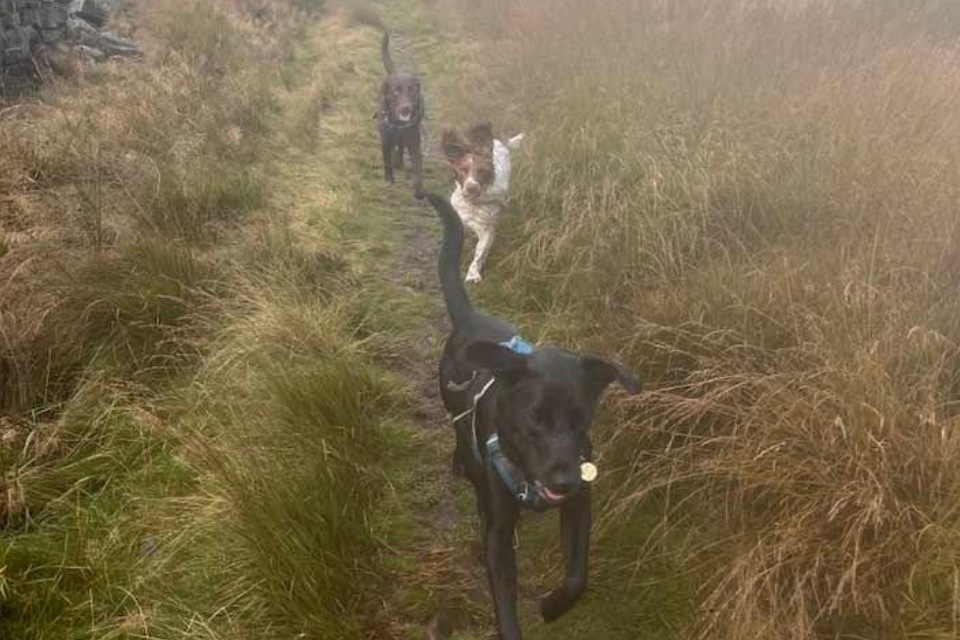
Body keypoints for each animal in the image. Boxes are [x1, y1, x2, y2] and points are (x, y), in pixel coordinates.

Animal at [376, 31, 422, 198]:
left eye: (412, 91)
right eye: (396, 92)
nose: (405, 109)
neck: (399, 126)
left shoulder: (414, 143)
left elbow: (418, 170)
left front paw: (419, 190)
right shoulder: (385, 140)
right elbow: (387, 161)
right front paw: (389, 179)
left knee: (400, 148)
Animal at [424, 194, 640, 640]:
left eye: (581, 419)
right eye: (533, 419)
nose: (564, 481)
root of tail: (470, 317)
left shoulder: (579, 510)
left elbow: (578, 575)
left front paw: (553, 606)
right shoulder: (497, 532)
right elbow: (505, 607)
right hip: (453, 404)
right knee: (459, 433)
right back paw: (461, 461)